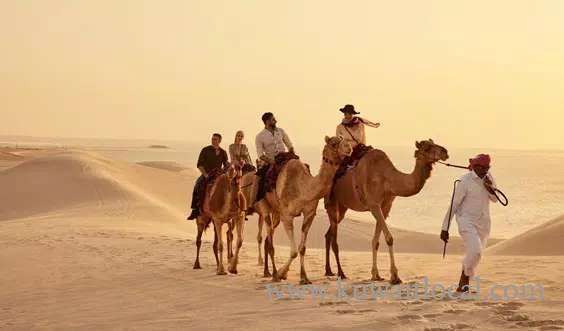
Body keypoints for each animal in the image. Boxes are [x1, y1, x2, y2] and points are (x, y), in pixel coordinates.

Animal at [264, 136, 352, 284]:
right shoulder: (286, 215)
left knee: (268, 238)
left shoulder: (309, 214)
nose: (349, 146)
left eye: (342, 138)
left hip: (276, 212)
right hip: (265, 209)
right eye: (334, 143)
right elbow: (293, 251)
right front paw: (280, 274)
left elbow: (302, 248)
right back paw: (270, 273)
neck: (303, 189)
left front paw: (303, 277)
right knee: (268, 241)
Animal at [322, 139, 450, 284]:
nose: (445, 152)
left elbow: (376, 241)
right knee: (334, 238)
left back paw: (329, 271)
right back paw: (341, 273)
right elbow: (389, 238)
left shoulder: (386, 206)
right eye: (427, 147)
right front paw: (395, 276)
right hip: (332, 203)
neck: (387, 179)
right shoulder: (374, 205)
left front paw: (376, 275)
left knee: (328, 234)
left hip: (343, 207)